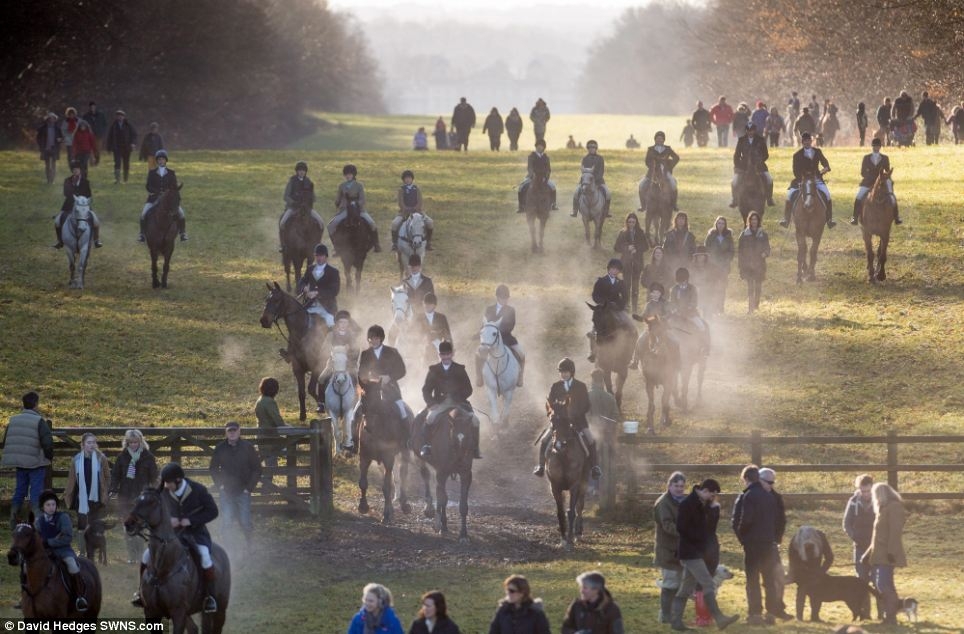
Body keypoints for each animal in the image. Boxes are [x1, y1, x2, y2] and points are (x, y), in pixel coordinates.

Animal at [124, 488, 232, 632]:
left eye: (152, 502)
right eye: (137, 500)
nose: (129, 523)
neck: (163, 569)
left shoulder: (178, 612)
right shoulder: (151, 611)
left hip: (220, 609)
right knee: (194, 629)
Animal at [260, 282, 328, 420]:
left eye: (277, 300)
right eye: (266, 299)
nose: (264, 321)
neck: (302, 333)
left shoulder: (316, 366)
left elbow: (311, 389)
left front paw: (321, 405)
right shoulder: (297, 369)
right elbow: (301, 392)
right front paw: (303, 415)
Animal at [356, 380, 412, 524]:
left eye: (378, 399)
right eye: (363, 399)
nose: (368, 426)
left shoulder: (388, 458)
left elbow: (387, 486)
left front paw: (386, 514)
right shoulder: (364, 457)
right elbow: (363, 482)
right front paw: (363, 506)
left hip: (404, 452)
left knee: (403, 474)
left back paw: (404, 504)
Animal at [414, 404, 474, 540]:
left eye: (468, 437)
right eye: (453, 438)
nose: (460, 462)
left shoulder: (466, 475)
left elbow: (463, 505)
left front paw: (463, 534)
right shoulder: (442, 473)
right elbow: (442, 499)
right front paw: (441, 526)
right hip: (420, 457)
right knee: (426, 476)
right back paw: (429, 509)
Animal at [548, 414, 592, 548]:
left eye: (567, 422)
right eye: (552, 423)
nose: (558, 446)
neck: (563, 456)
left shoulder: (575, 486)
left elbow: (572, 511)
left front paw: (570, 539)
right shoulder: (555, 487)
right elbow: (560, 512)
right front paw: (563, 539)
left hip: (584, 482)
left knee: (580, 506)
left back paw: (578, 532)